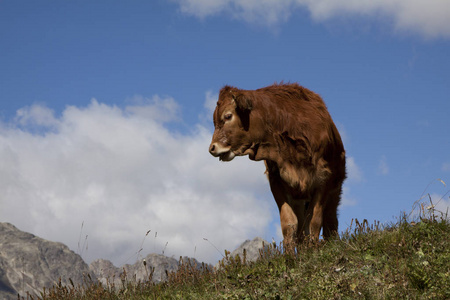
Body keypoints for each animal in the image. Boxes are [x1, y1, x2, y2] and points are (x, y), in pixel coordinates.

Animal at [209, 82, 346, 253]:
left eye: (228, 116)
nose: (212, 148)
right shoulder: (277, 181)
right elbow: (289, 223)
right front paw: (290, 257)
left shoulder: (322, 180)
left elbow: (314, 222)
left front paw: (314, 253)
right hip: (299, 198)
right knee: (301, 227)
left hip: (335, 191)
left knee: (330, 223)